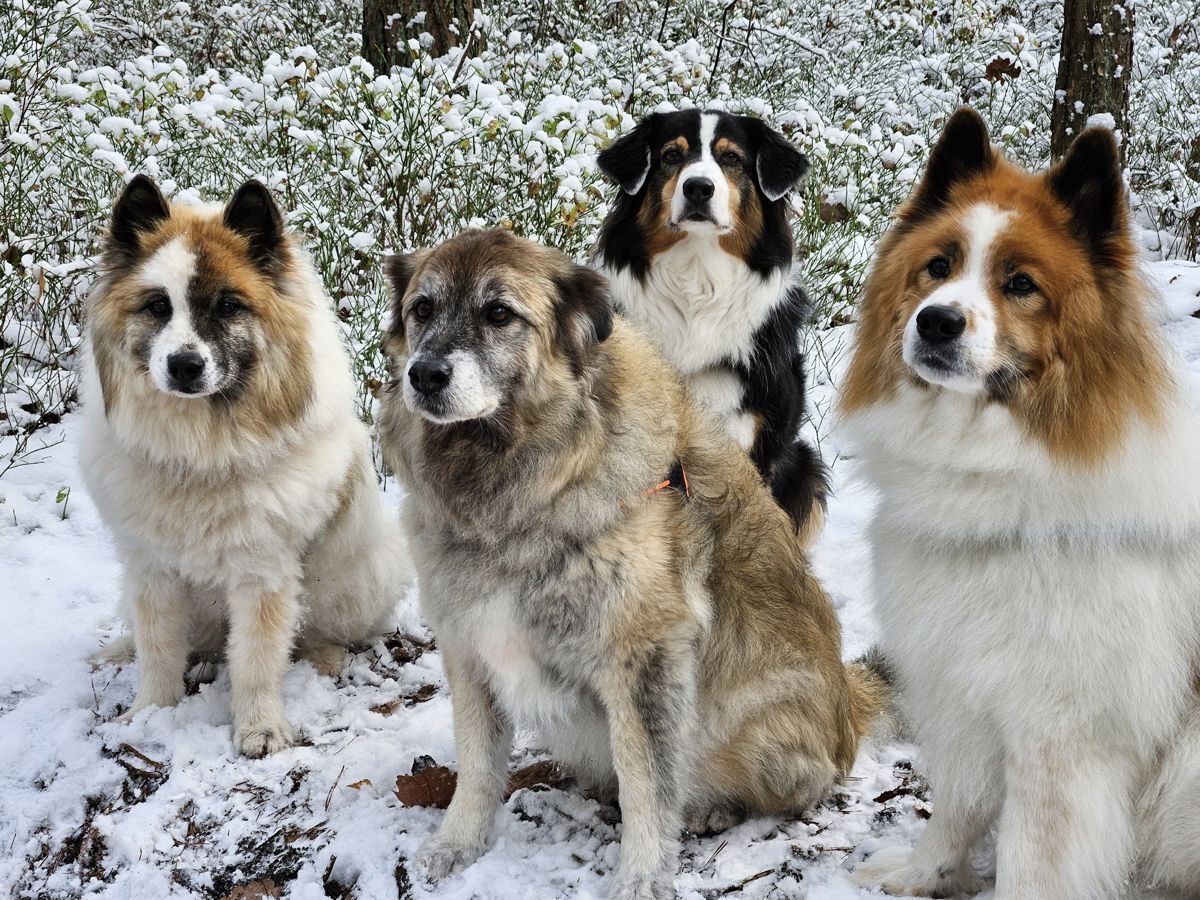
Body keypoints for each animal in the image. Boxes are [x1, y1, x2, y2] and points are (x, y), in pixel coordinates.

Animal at [379, 230, 888, 900]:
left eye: (498, 314)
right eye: (422, 310)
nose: (425, 374)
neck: (526, 485)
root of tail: (848, 709)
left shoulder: (643, 657)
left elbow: (648, 781)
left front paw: (643, 877)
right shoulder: (471, 647)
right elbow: (479, 764)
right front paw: (458, 843)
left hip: (753, 729)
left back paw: (711, 808)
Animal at [844, 109, 1200, 897]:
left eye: (1020, 284)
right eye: (938, 267)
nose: (937, 323)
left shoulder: (1059, 733)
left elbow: (1031, 857)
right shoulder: (964, 689)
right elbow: (957, 804)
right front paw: (921, 872)